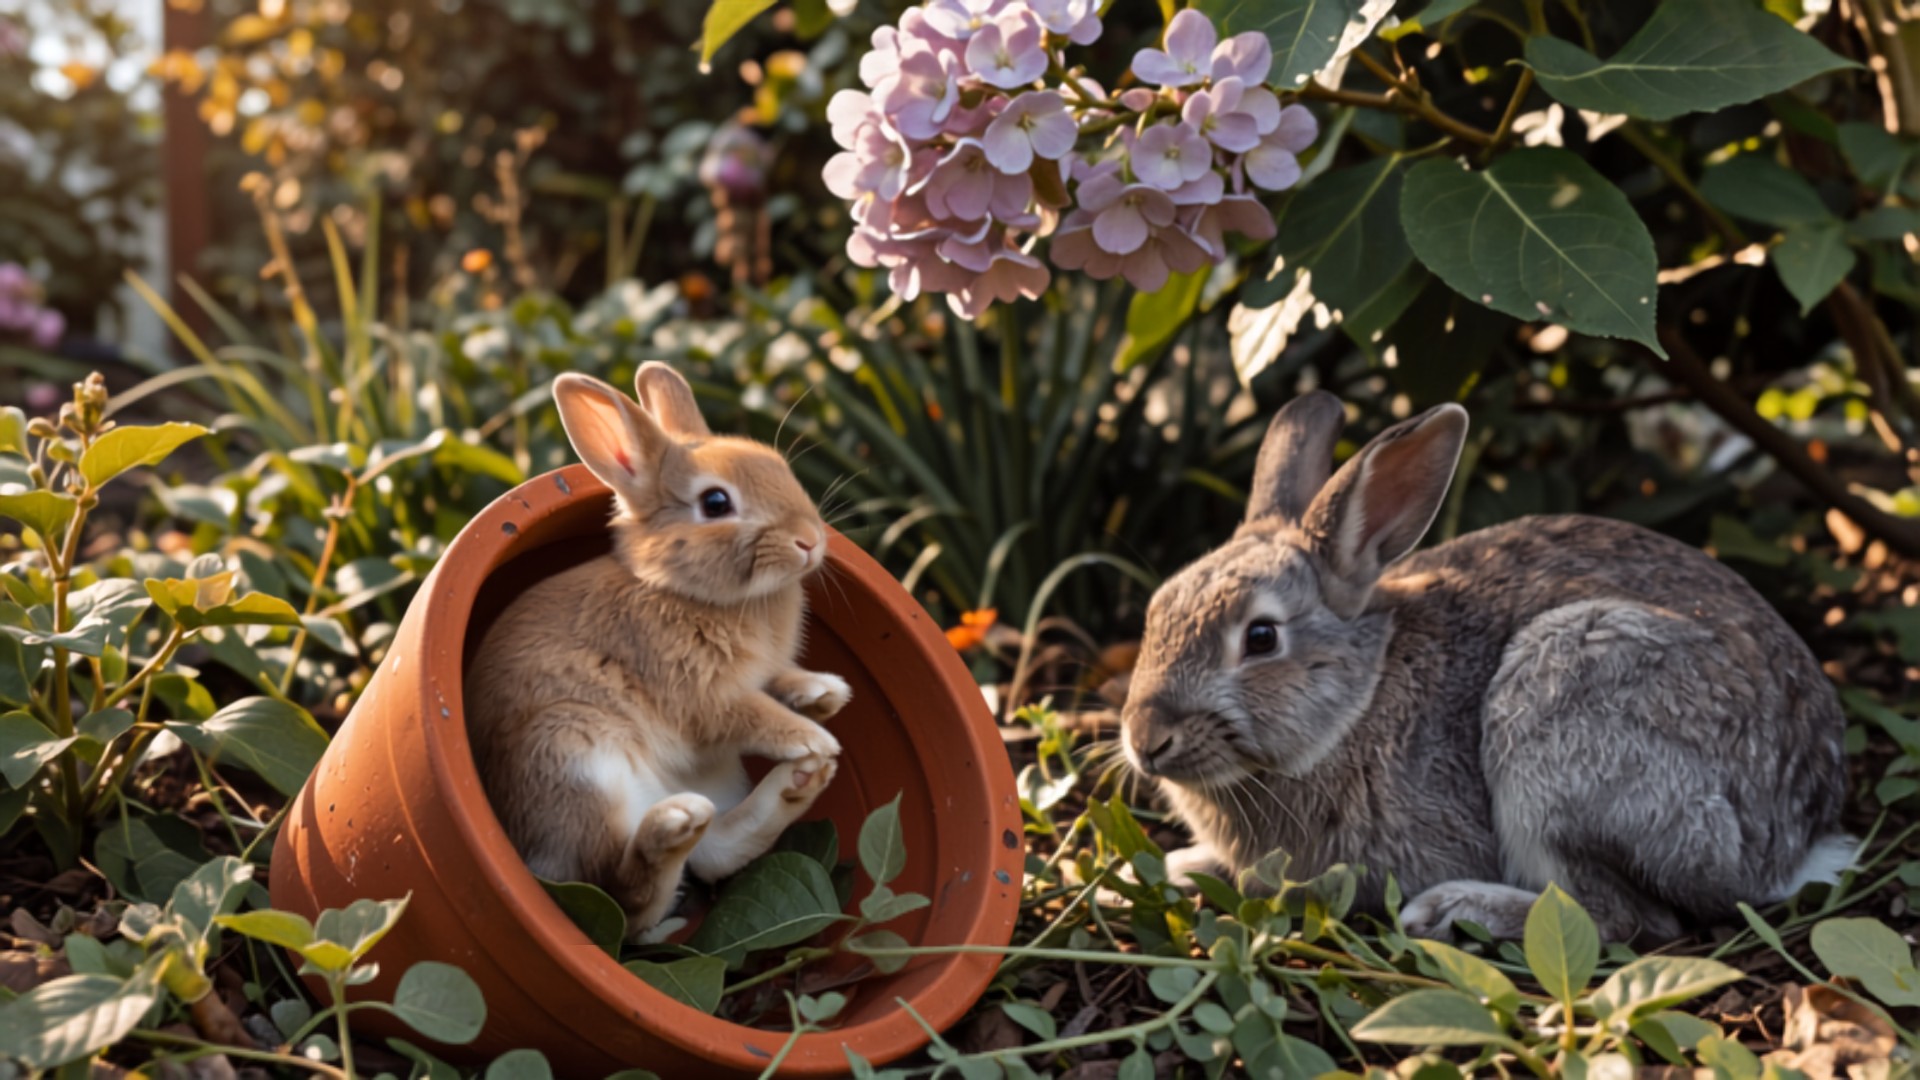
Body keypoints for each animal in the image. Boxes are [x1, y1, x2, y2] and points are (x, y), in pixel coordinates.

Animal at [465, 364, 851, 938]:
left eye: (782, 469)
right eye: (716, 503)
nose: (809, 540)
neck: (678, 589)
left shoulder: (753, 680)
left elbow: (777, 683)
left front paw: (825, 694)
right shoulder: (702, 696)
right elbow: (754, 715)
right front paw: (815, 739)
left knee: (710, 855)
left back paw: (796, 786)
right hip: (574, 757)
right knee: (623, 896)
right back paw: (673, 826)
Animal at [1120, 391, 1854, 943]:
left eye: (1262, 637)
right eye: (1154, 612)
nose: (1146, 738)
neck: (1359, 700)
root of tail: (1789, 841)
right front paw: (1177, 867)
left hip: (1563, 719)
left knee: (1626, 919)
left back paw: (1454, 909)